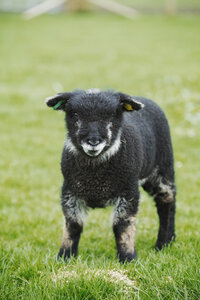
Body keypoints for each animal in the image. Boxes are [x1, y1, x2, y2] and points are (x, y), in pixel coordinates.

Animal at [45, 89, 177, 262]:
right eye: (74, 114)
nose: (93, 141)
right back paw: (170, 240)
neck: (95, 177)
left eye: (112, 115)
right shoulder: (69, 190)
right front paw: (65, 257)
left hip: (163, 167)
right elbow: (73, 224)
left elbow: (122, 225)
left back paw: (162, 243)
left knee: (166, 201)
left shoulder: (129, 191)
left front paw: (127, 258)